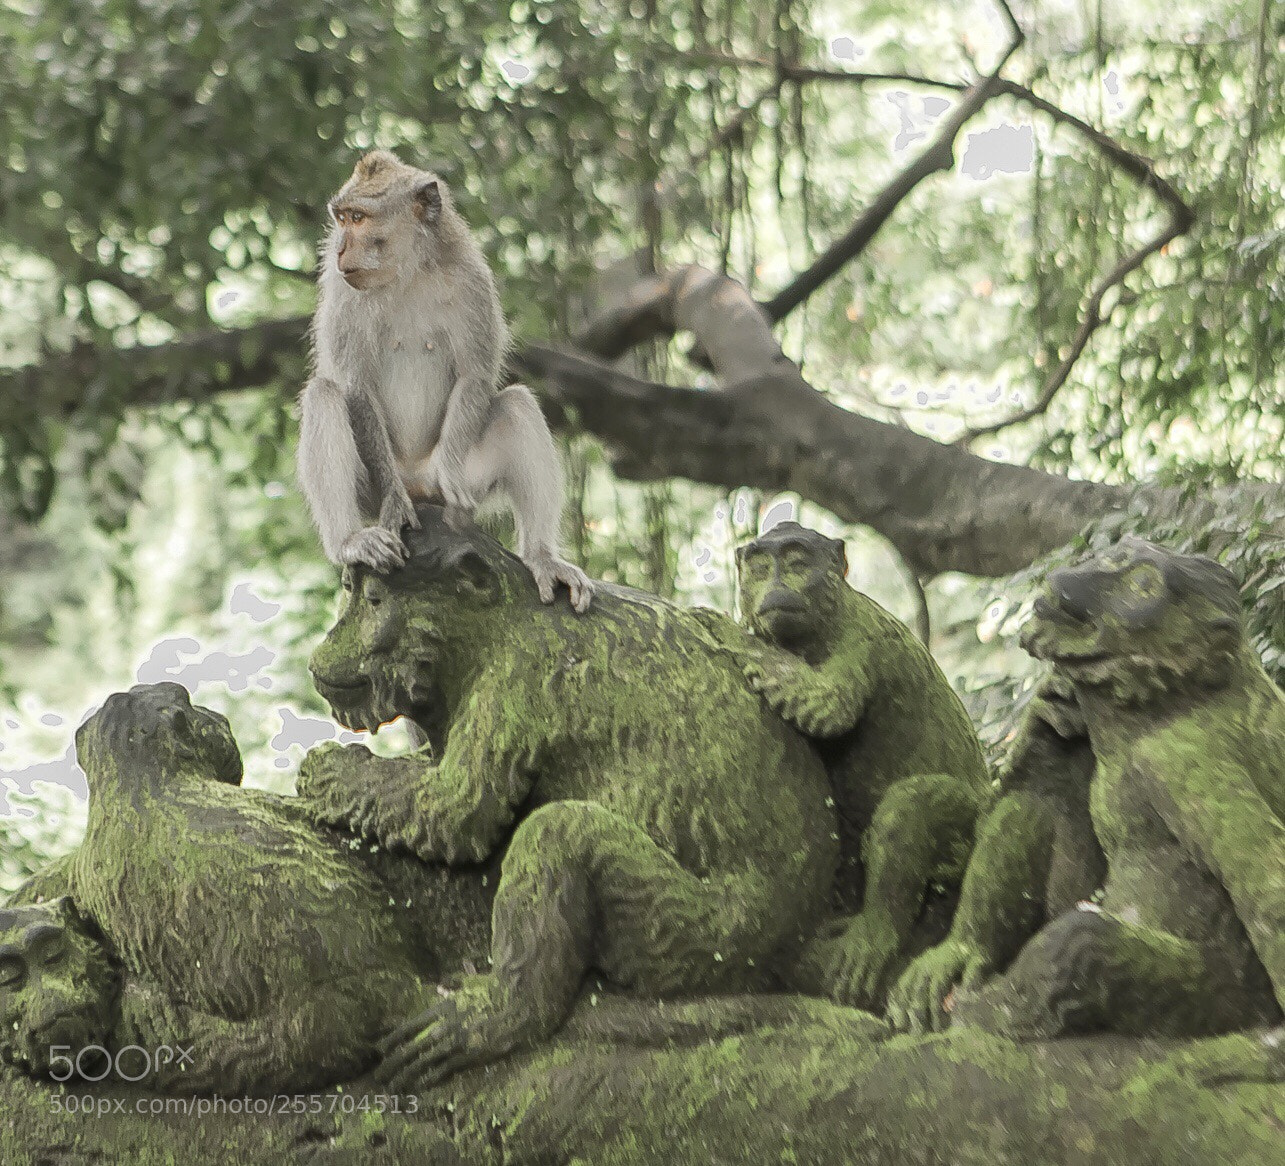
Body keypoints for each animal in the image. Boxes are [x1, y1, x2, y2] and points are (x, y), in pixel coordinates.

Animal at [297, 149, 593, 612]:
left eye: (358, 218)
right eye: (341, 219)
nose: (341, 247)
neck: (407, 273)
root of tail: (417, 479)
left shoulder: (472, 280)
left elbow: (474, 374)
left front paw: (451, 472)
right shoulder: (342, 291)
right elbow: (356, 388)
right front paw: (393, 502)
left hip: (462, 480)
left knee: (517, 404)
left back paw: (542, 557)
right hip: (370, 491)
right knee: (324, 395)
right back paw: (351, 540)